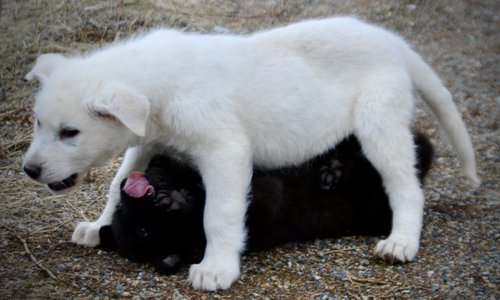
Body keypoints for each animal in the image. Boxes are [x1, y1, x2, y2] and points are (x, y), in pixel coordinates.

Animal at [98, 134, 434, 274]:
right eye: (143, 231)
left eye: (120, 210)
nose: (126, 195)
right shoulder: (264, 201)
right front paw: (180, 201)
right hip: (374, 205)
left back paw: (333, 165)